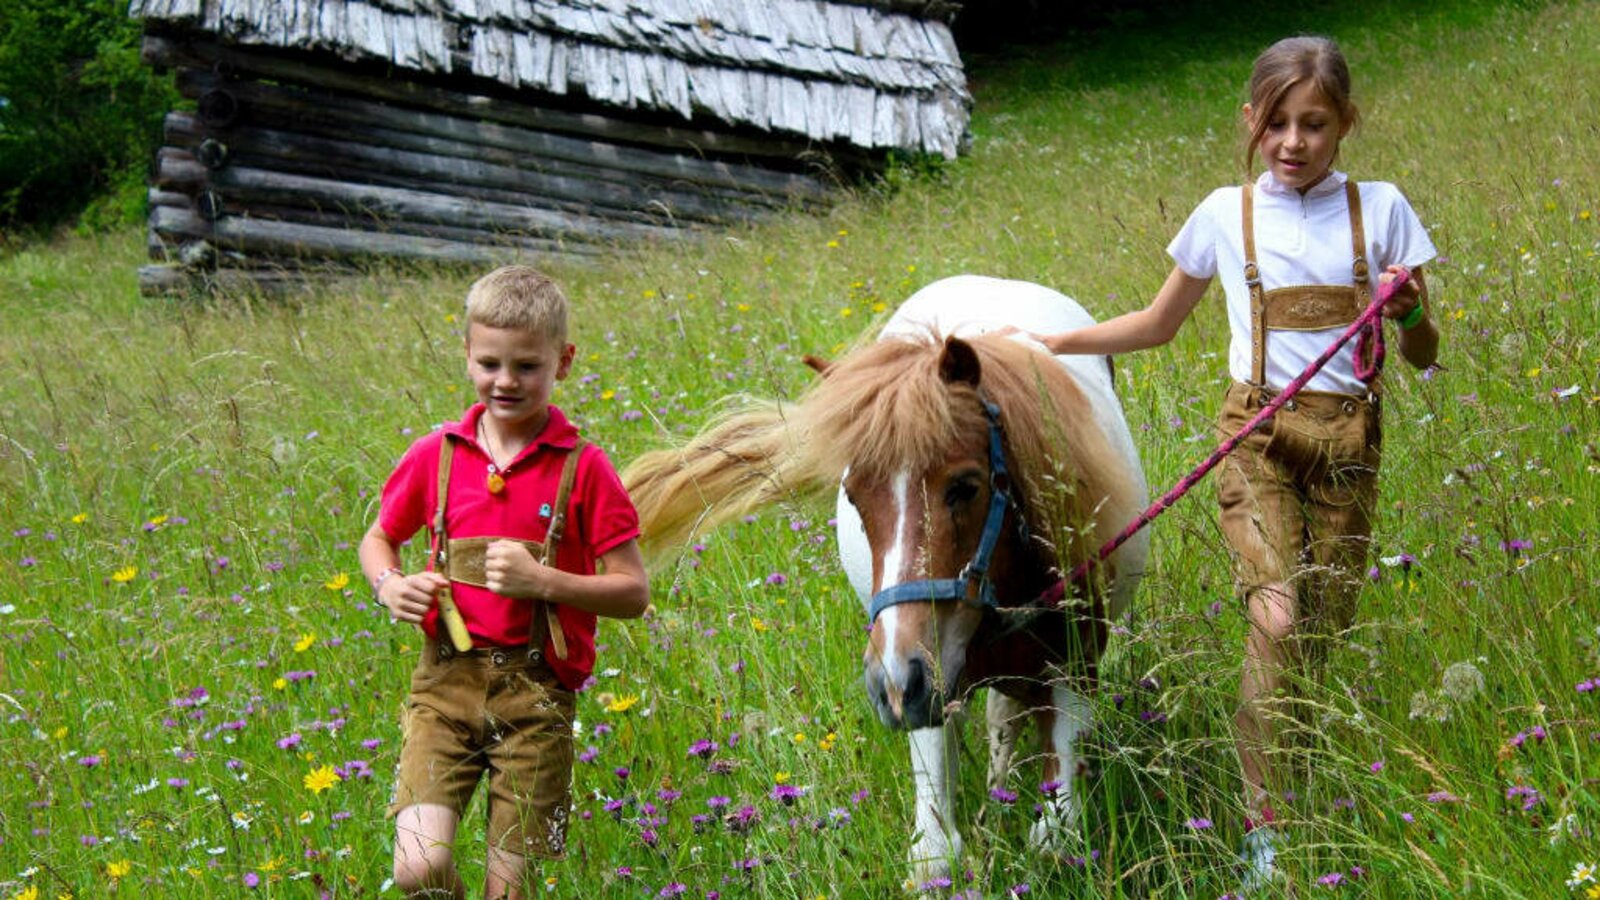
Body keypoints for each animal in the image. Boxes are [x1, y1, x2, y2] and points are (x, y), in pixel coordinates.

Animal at [620, 273, 1152, 877]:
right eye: (852, 497)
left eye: (965, 486)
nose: (895, 685)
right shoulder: (934, 688)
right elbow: (936, 849)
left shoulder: (1074, 659)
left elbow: (1057, 823)